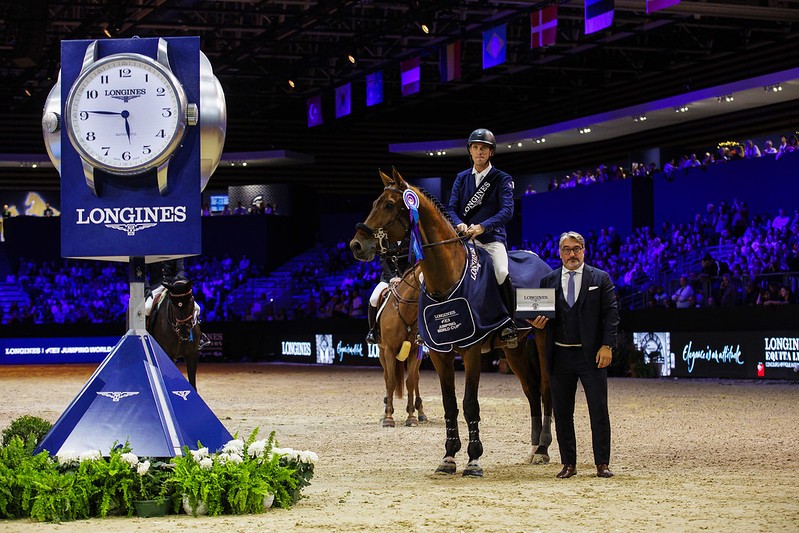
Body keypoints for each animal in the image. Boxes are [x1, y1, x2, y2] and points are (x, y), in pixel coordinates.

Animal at [372, 262, 428, 428]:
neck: (405, 310)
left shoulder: (414, 350)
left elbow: (410, 382)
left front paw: (411, 417)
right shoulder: (389, 350)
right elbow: (390, 382)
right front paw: (388, 418)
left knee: (416, 378)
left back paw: (421, 412)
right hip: (382, 353)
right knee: (386, 377)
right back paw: (385, 410)